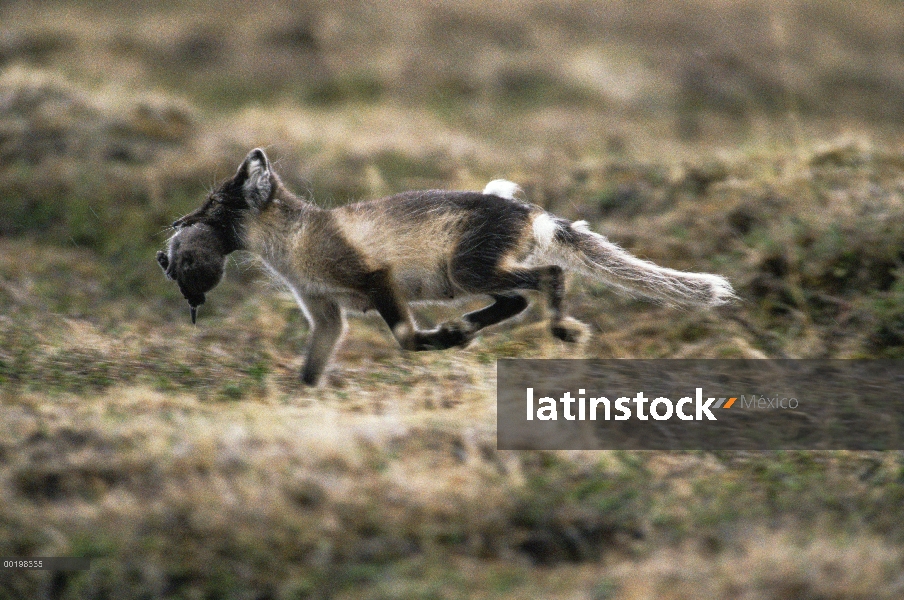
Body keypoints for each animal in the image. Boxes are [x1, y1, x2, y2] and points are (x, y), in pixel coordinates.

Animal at [157, 149, 736, 384]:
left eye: (212, 204)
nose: (171, 235)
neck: (294, 241)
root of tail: (532, 210)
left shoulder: (375, 278)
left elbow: (405, 337)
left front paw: (435, 341)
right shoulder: (325, 312)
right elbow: (312, 364)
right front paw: (303, 396)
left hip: (467, 270)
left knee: (544, 280)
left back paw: (557, 328)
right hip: (473, 274)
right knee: (515, 298)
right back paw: (466, 327)